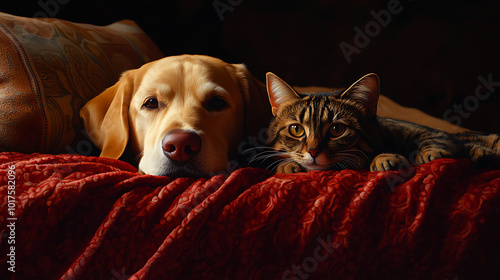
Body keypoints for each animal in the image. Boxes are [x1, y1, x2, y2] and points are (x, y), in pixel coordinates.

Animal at [264, 72, 498, 173]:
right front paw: (287, 166)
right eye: (296, 129)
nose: (313, 151)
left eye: (337, 129)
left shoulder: (434, 133)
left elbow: (435, 138)